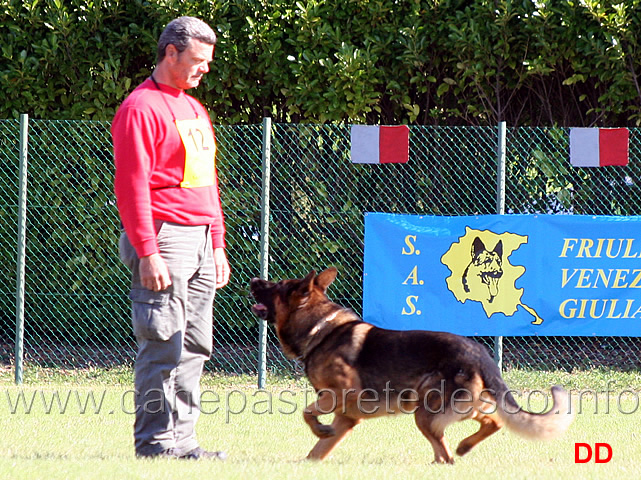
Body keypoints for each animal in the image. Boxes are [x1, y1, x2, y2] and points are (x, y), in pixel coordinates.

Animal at [248, 268, 572, 464]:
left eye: (276, 286)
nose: (253, 281)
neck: (320, 328)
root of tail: (478, 353)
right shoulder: (347, 417)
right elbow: (316, 452)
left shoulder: (340, 395)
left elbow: (307, 412)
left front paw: (319, 428)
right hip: (460, 407)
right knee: (490, 424)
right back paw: (464, 447)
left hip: (426, 413)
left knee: (446, 454)